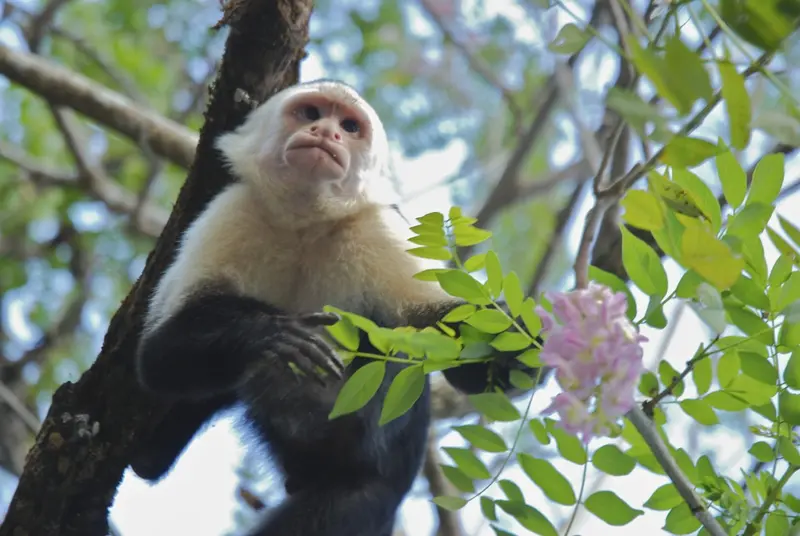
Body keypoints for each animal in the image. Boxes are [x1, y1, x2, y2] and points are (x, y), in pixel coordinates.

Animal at [132, 79, 546, 536]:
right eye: (311, 114)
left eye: (349, 126)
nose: (326, 132)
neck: (305, 224)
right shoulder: (233, 209)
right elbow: (158, 355)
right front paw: (269, 333)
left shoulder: (378, 231)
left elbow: (450, 347)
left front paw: (521, 343)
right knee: (156, 449)